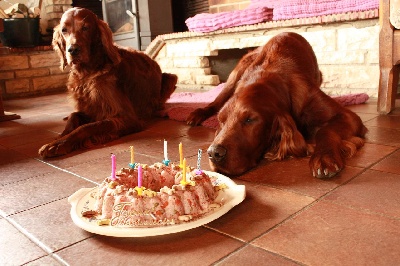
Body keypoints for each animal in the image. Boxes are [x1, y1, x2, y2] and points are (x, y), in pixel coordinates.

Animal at [38, 7, 177, 158]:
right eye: (64, 30)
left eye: (85, 28)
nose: (73, 50)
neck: (87, 73)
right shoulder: (89, 108)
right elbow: (73, 117)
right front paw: (58, 138)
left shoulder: (128, 118)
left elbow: (87, 127)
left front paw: (60, 144)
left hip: (171, 78)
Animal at [186, 31, 368, 179]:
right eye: (221, 121)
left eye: (250, 120)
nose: (214, 153)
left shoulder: (347, 115)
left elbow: (325, 129)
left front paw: (324, 158)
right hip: (235, 75)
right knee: (216, 101)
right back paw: (196, 114)